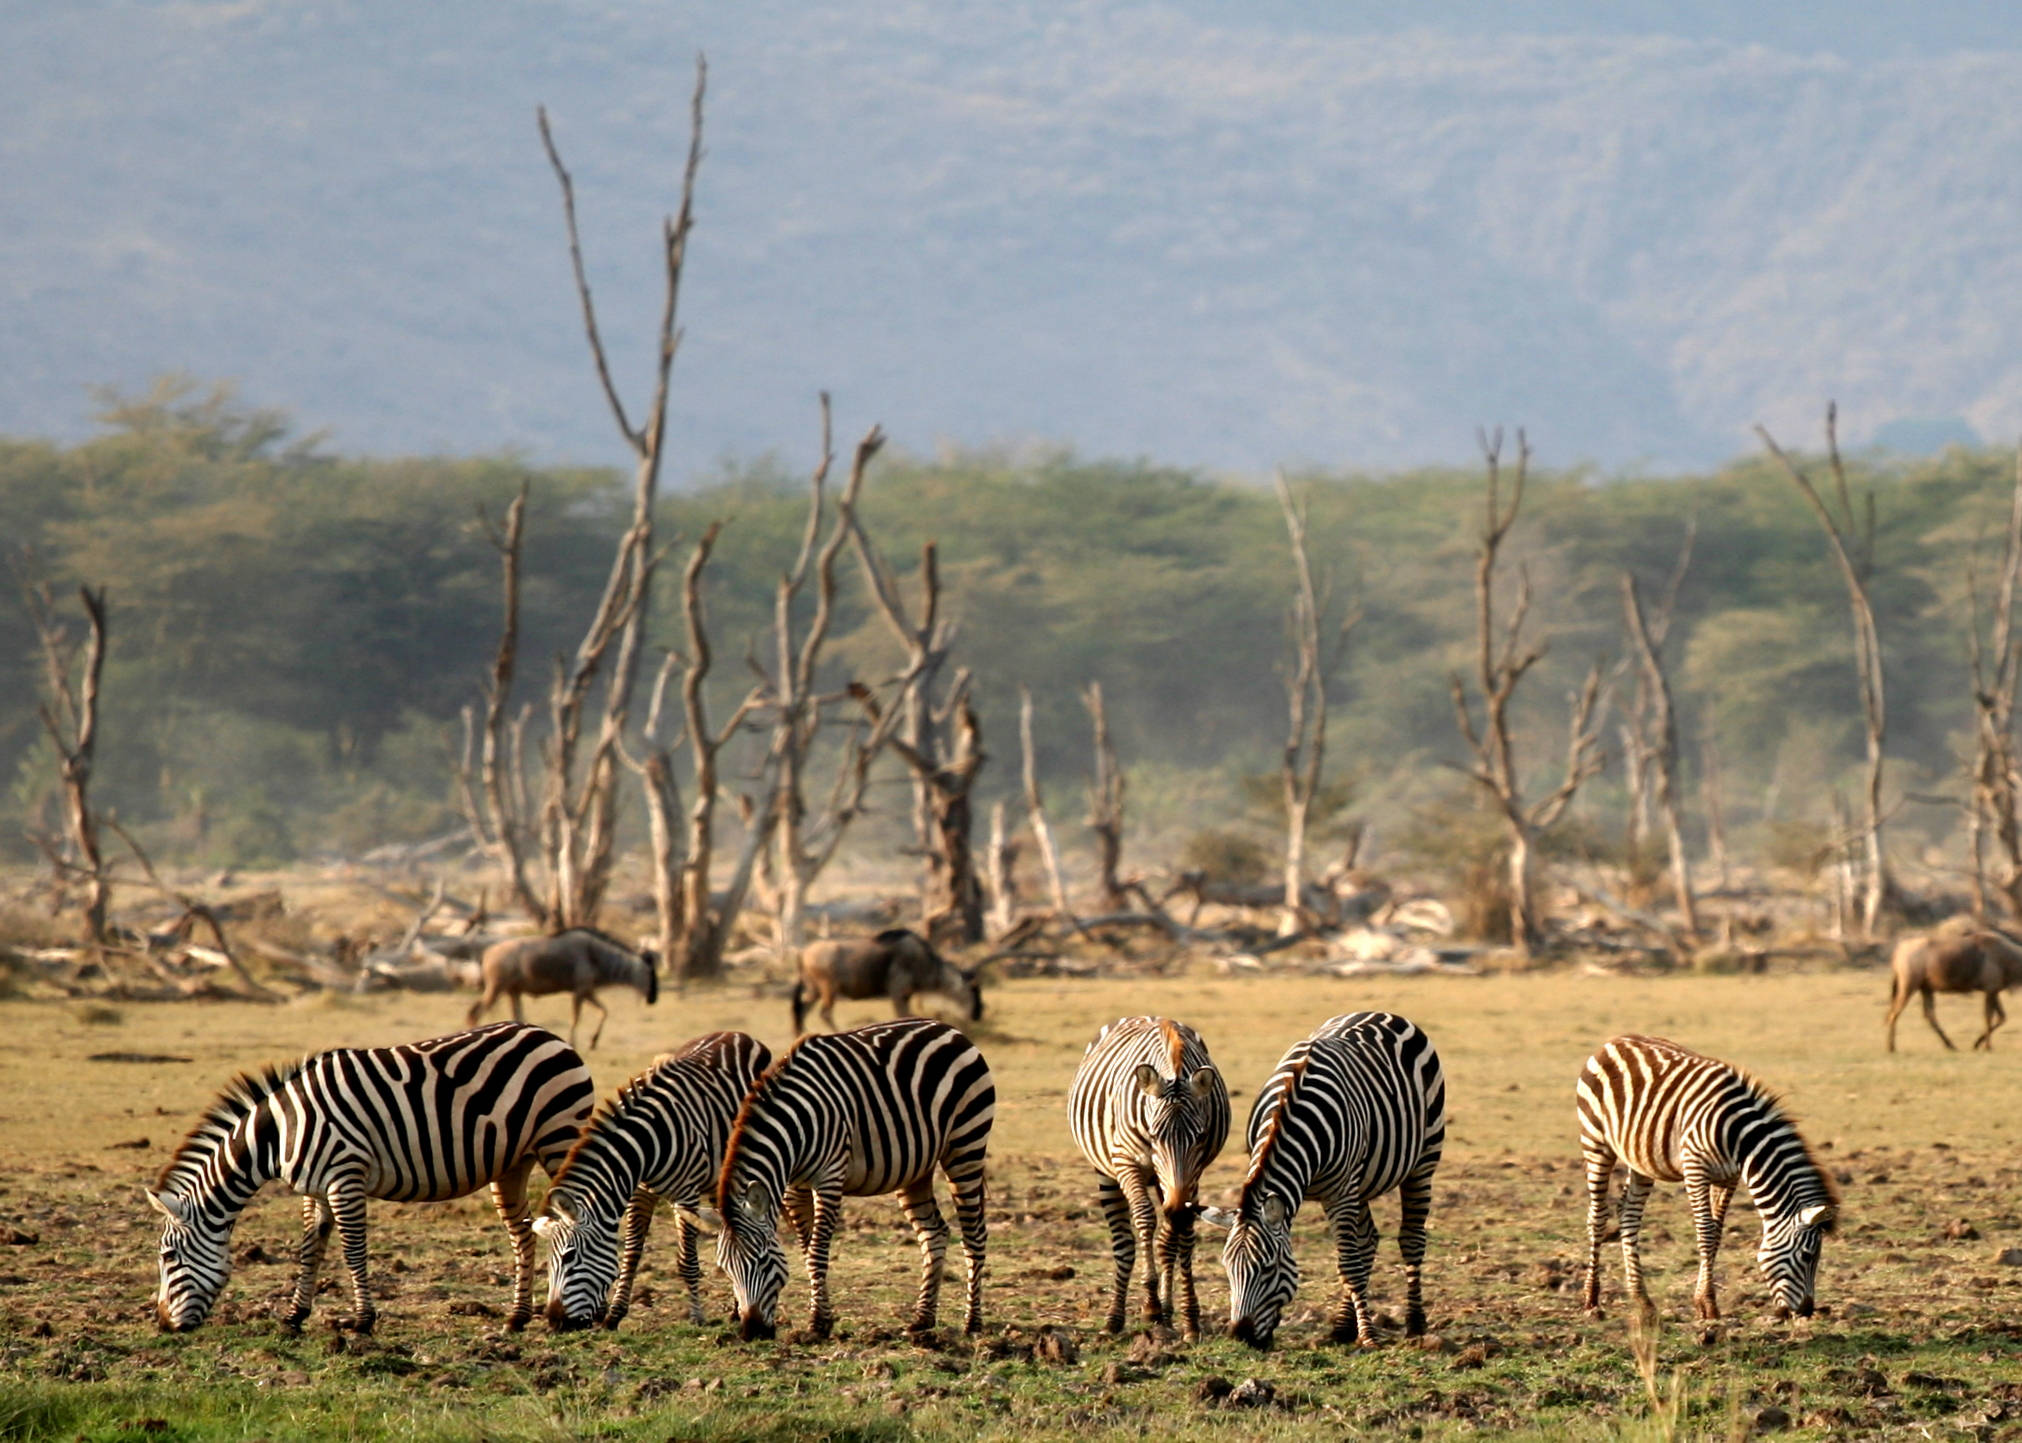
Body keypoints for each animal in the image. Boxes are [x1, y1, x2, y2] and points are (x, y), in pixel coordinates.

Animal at [467, 928, 659, 1049]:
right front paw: (574, 1043)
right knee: (476, 1012)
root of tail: (487, 953)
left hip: (513, 992)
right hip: (496, 989)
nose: (653, 998)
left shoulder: (588, 991)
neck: (596, 955)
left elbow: (604, 1012)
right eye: (649, 972)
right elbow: (576, 1018)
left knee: (515, 1016)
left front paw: (593, 1041)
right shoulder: (580, 992)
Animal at [790, 927, 982, 1034]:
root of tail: (802, 952)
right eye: (971, 991)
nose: (977, 1014)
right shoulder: (897, 992)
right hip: (828, 990)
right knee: (825, 1013)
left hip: (814, 991)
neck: (925, 962)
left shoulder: (906, 995)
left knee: (802, 1009)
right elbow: (903, 1015)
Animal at [1884, 926, 2022, 1051]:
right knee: (1894, 1014)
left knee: (1929, 1016)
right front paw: (1987, 1047)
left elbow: (2002, 1017)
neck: (2006, 955)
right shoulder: (1990, 991)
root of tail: (1900, 950)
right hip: (1908, 987)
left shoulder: (1994, 991)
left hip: (1926, 989)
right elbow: (1988, 1018)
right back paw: (1891, 1047)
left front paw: (1977, 1044)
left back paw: (1950, 1045)